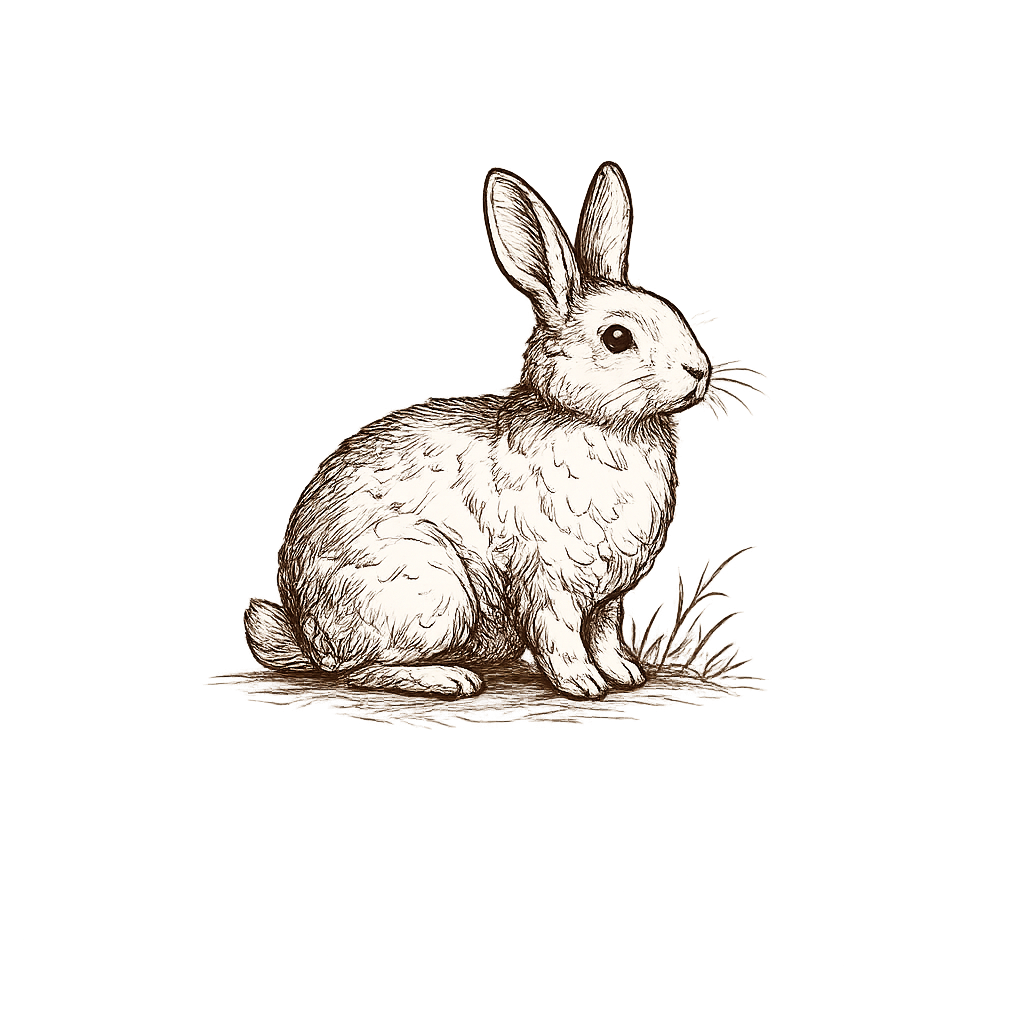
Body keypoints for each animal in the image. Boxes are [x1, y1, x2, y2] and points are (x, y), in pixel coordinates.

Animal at [244, 162, 711, 699]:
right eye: (617, 337)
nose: (699, 371)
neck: (597, 420)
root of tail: (308, 634)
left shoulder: (606, 593)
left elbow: (605, 631)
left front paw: (624, 674)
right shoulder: (548, 581)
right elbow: (561, 636)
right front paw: (582, 684)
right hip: (430, 589)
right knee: (357, 672)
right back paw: (450, 678)